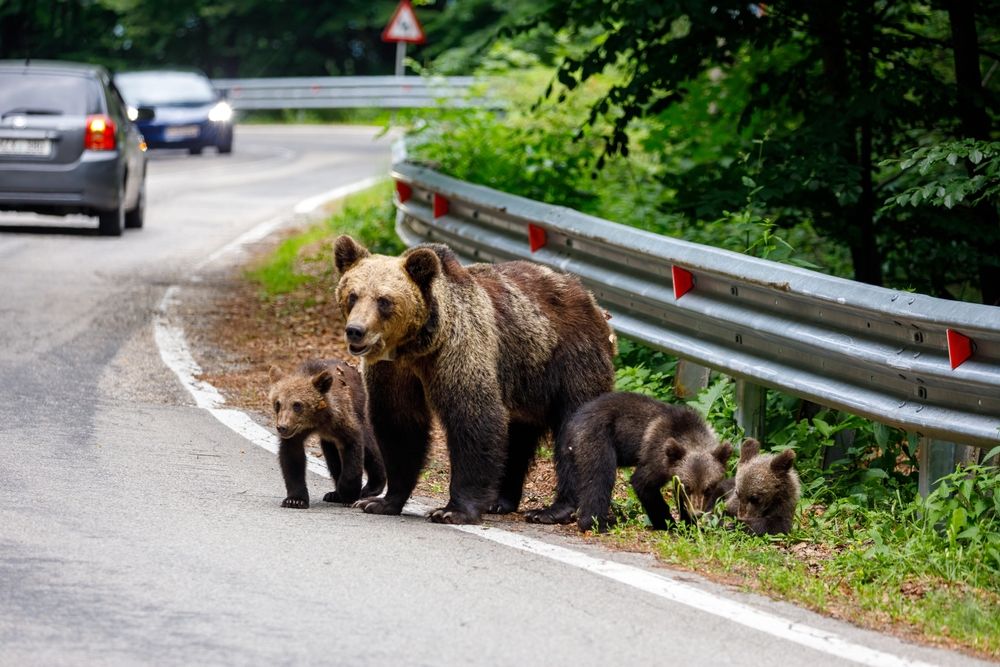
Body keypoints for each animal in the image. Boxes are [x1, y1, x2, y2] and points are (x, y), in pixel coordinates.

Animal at [336, 237, 612, 524]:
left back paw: (554, 510)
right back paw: (500, 501)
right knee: (517, 438)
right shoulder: (393, 371)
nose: (356, 331)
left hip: (571, 361)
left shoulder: (459, 349)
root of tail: (592, 300)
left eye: (384, 300)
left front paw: (452, 510)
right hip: (524, 384)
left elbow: (472, 417)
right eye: (352, 295)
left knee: (574, 428)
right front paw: (380, 501)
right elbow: (398, 424)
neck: (416, 347)